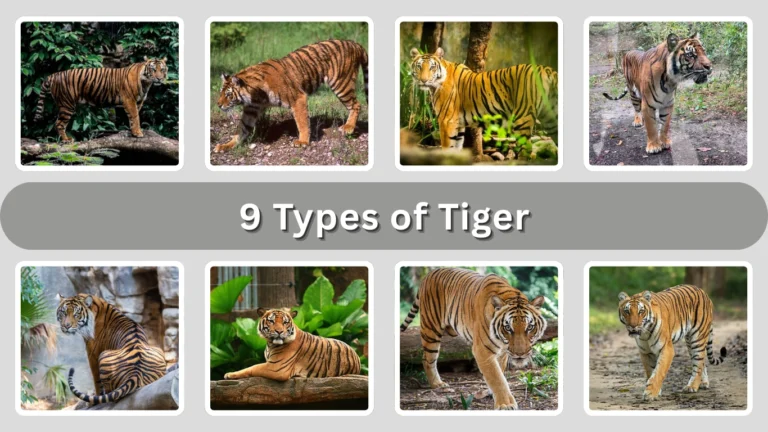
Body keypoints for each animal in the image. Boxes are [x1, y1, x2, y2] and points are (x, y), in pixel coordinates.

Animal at [34, 57, 168, 142]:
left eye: (162, 70)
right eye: (153, 70)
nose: (159, 79)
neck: (146, 83)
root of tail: (53, 75)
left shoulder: (138, 102)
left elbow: (133, 117)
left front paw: (133, 131)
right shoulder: (130, 100)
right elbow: (135, 116)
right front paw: (138, 133)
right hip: (67, 104)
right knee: (59, 124)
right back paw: (66, 140)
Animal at [213, 39, 369, 152]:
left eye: (228, 94)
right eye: (221, 92)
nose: (218, 105)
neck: (255, 95)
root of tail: (354, 43)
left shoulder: (298, 98)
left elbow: (302, 122)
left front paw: (303, 141)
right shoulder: (251, 109)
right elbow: (242, 129)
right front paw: (226, 145)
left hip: (341, 83)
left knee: (356, 104)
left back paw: (348, 127)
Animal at [223, 308, 361, 380]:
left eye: (285, 322)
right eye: (271, 321)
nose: (279, 331)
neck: (270, 344)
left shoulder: (276, 367)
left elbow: (252, 367)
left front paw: (229, 374)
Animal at [400, 268, 547, 410]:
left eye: (530, 327)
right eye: (508, 328)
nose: (520, 354)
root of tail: (429, 274)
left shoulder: (502, 353)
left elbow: (499, 372)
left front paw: (492, 394)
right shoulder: (482, 350)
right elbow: (497, 378)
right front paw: (506, 404)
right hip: (431, 330)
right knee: (427, 359)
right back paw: (437, 384)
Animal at [409, 47, 558, 152]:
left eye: (432, 67)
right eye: (419, 66)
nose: (423, 80)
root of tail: (547, 70)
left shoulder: (447, 121)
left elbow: (447, 148)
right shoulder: (458, 124)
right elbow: (456, 148)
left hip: (523, 119)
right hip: (551, 119)